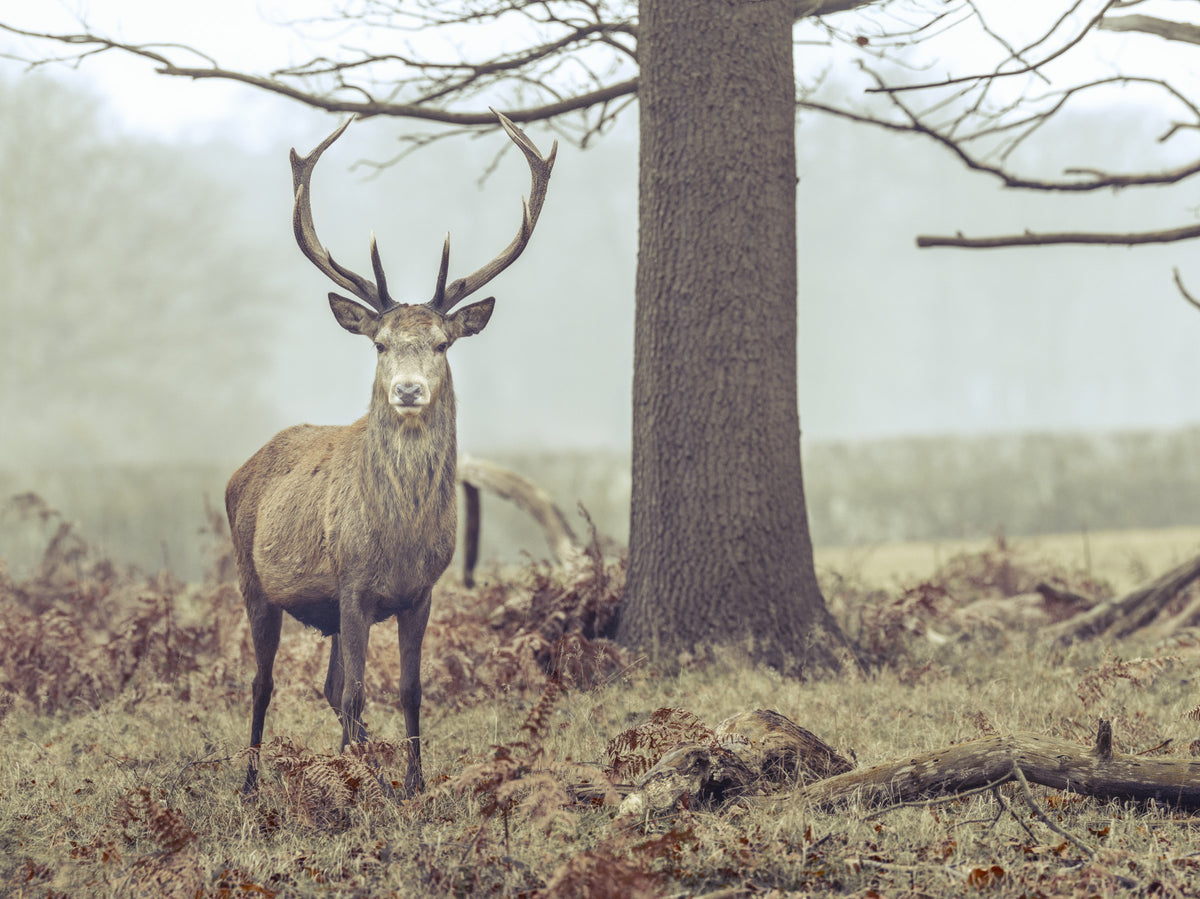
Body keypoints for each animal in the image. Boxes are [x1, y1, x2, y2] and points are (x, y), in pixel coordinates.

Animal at [225, 110, 555, 796]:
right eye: (379, 344)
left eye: (442, 344)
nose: (407, 389)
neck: (398, 539)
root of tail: (241, 470)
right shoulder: (352, 584)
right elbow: (357, 691)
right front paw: (357, 789)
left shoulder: (421, 591)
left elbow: (408, 689)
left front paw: (412, 784)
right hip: (252, 576)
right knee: (264, 682)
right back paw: (249, 783)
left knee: (327, 686)